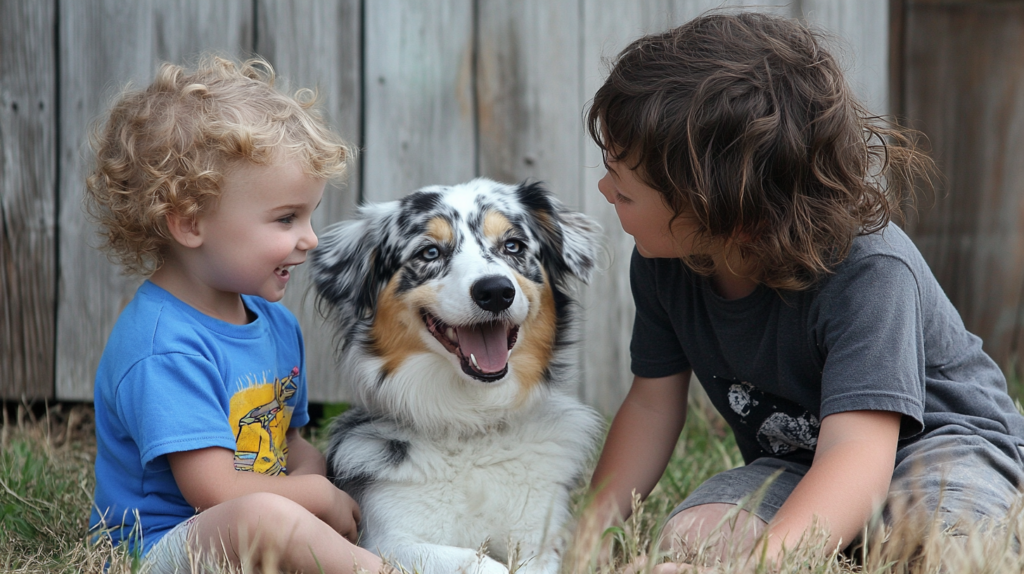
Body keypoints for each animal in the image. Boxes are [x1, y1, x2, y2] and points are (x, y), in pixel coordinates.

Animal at [307, 179, 602, 572]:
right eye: (430, 252)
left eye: (513, 246)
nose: (495, 291)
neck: (471, 425)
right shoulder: (387, 541)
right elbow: (478, 562)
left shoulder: (539, 536)